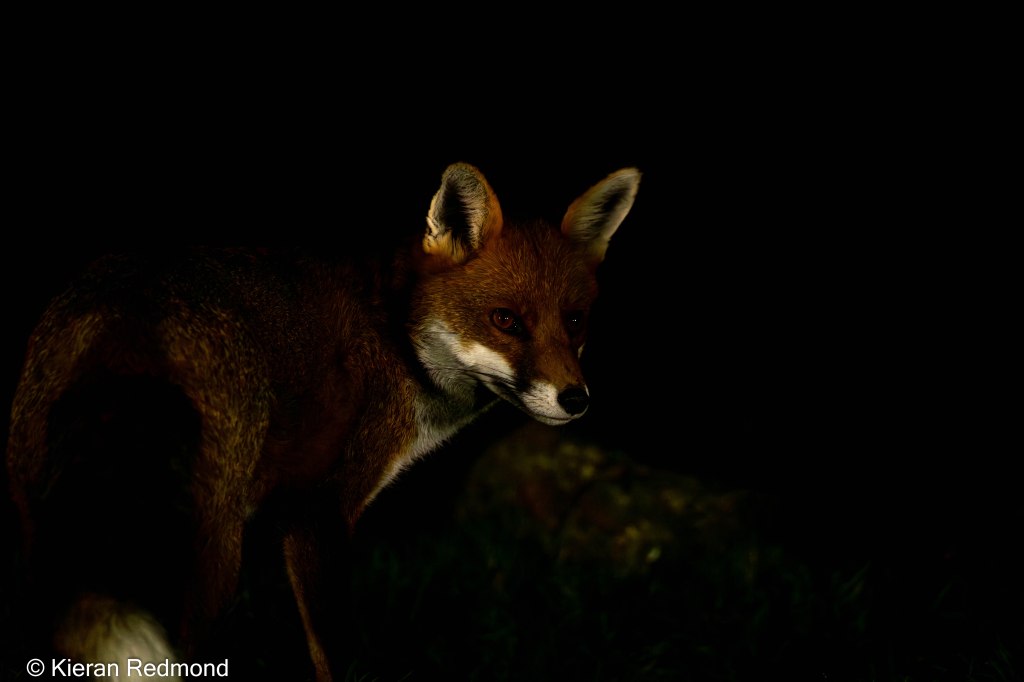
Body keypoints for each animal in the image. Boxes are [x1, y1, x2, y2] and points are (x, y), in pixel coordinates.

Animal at [5, 162, 640, 681]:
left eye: (576, 322)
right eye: (505, 320)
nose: (576, 400)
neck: (394, 337)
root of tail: (135, 315)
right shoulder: (318, 511)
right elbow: (334, 656)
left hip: (46, 531)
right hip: (214, 561)